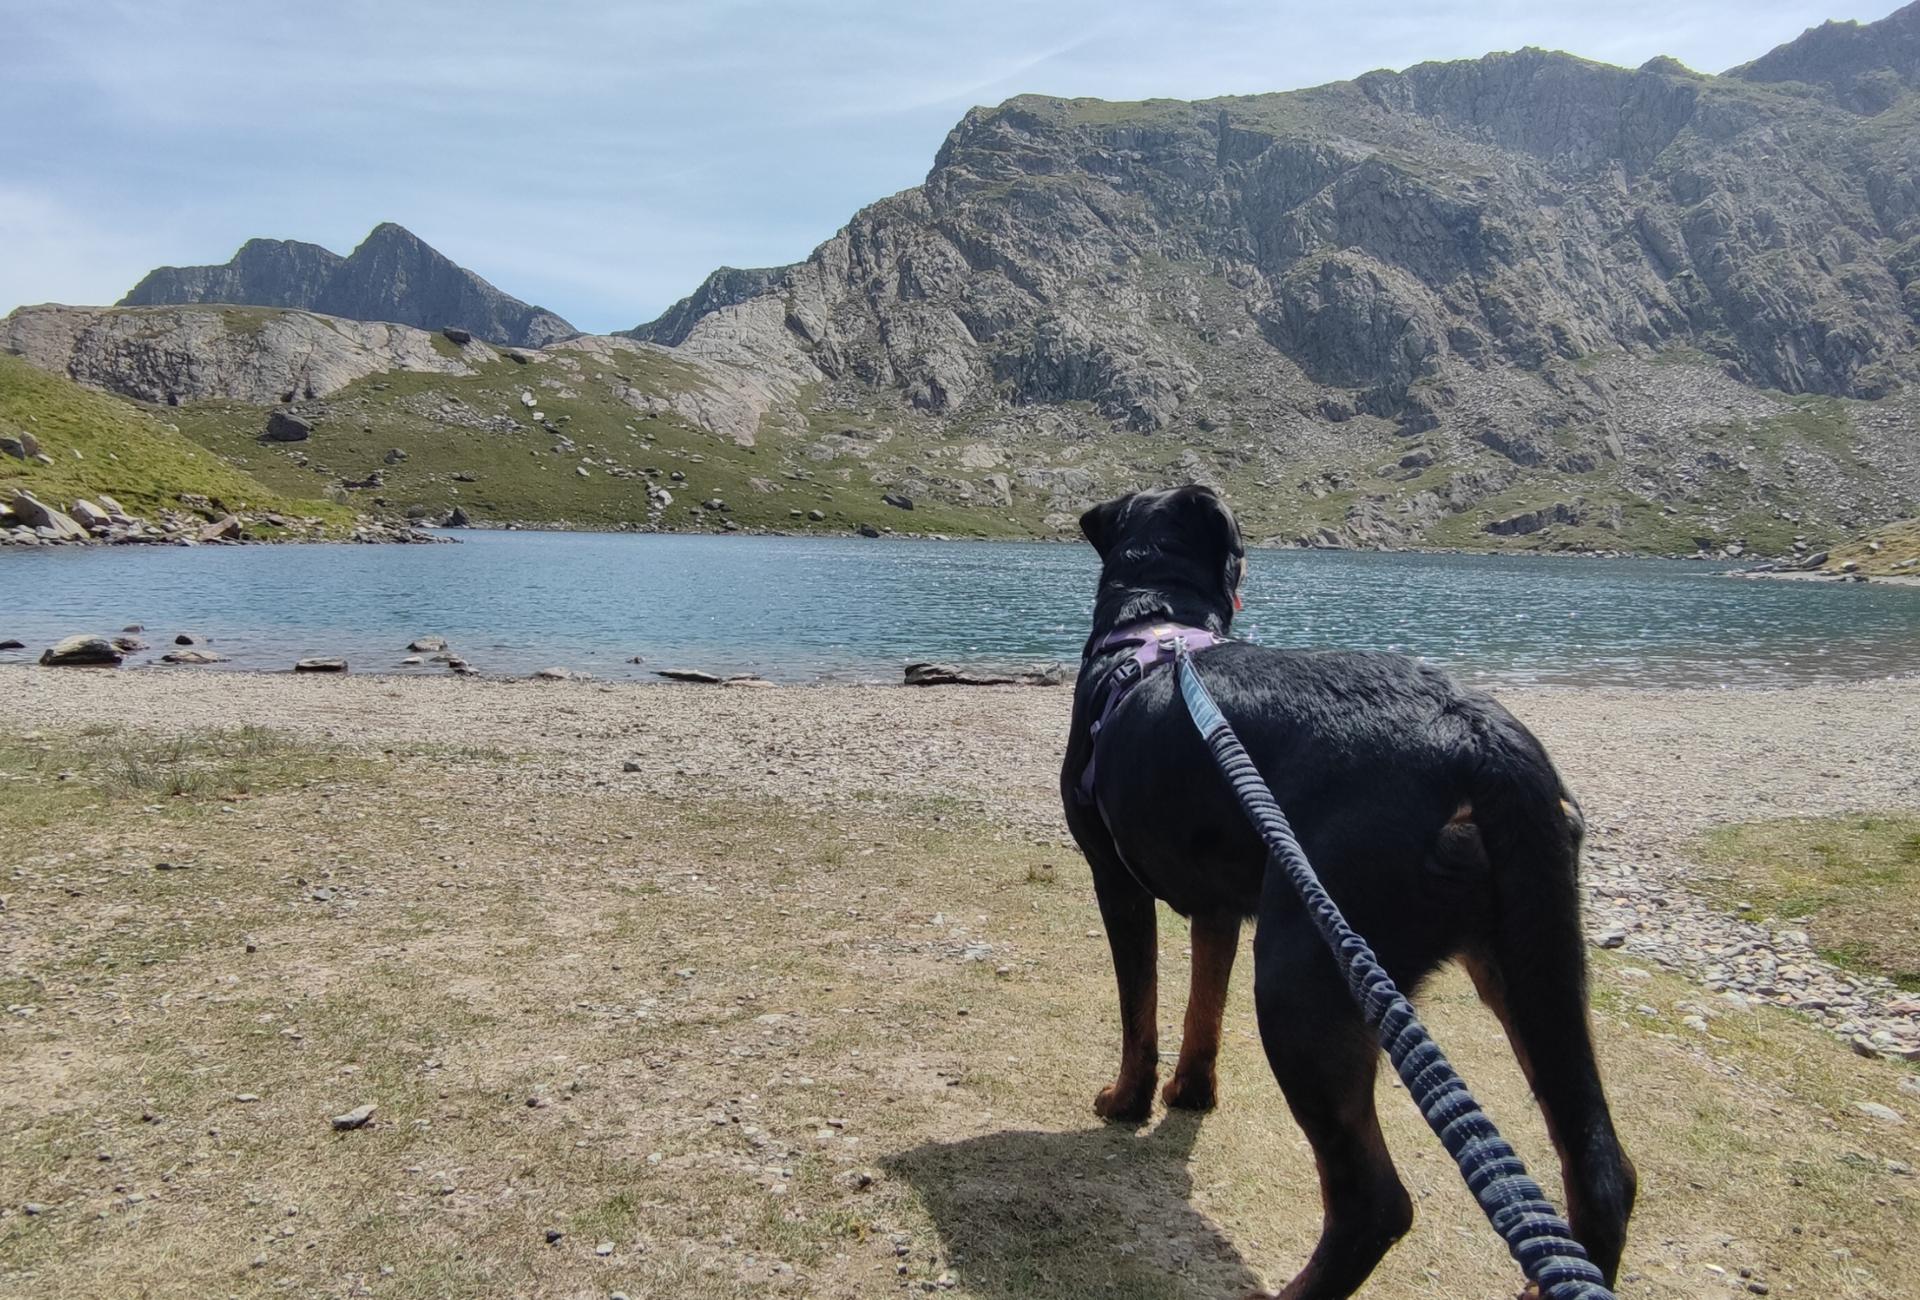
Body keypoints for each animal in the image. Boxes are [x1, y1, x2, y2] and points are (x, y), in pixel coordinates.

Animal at [1067, 483, 1635, 1298]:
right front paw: (1191, 1092)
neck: (1153, 622)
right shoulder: (1218, 907)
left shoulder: (1113, 879)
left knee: (1373, 1202)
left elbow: (1137, 1011)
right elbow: (1203, 1007)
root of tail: (1481, 742)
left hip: (1304, 972)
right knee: (1601, 1167)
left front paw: (1126, 1101)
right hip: (1531, 961)